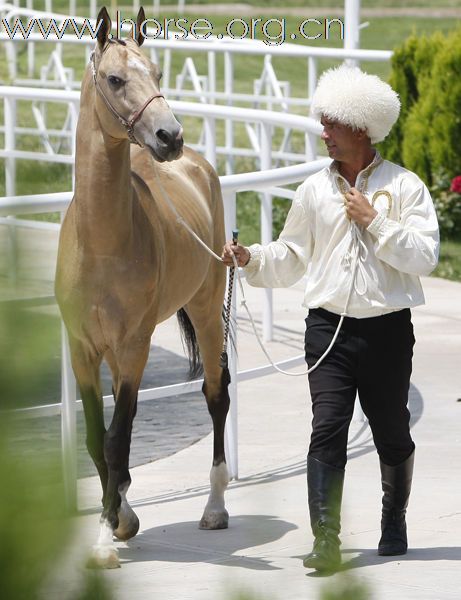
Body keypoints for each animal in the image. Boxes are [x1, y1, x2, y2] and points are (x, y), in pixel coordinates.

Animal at [54, 5, 230, 568]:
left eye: (157, 72)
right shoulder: (84, 348)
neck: (103, 243)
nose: (169, 137)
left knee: (216, 394)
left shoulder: (135, 345)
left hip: (205, 308)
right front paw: (120, 521)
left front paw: (103, 539)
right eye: (115, 79)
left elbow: (117, 437)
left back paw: (215, 508)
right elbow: (97, 437)